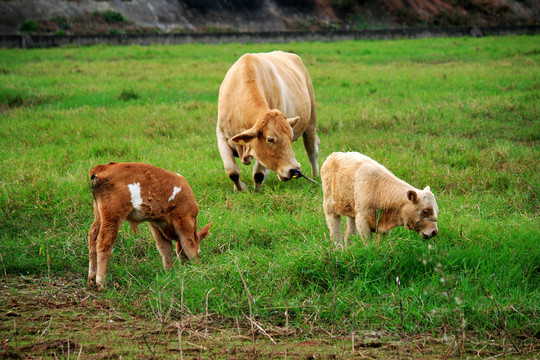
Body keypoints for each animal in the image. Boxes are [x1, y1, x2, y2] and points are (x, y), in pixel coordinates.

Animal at [88, 162, 211, 290]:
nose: (187, 266)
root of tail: (104, 167)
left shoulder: (157, 223)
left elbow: (165, 248)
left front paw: (169, 272)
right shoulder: (184, 218)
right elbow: (189, 245)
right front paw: (198, 267)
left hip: (99, 212)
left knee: (93, 235)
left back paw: (91, 277)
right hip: (113, 213)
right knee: (104, 241)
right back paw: (101, 282)